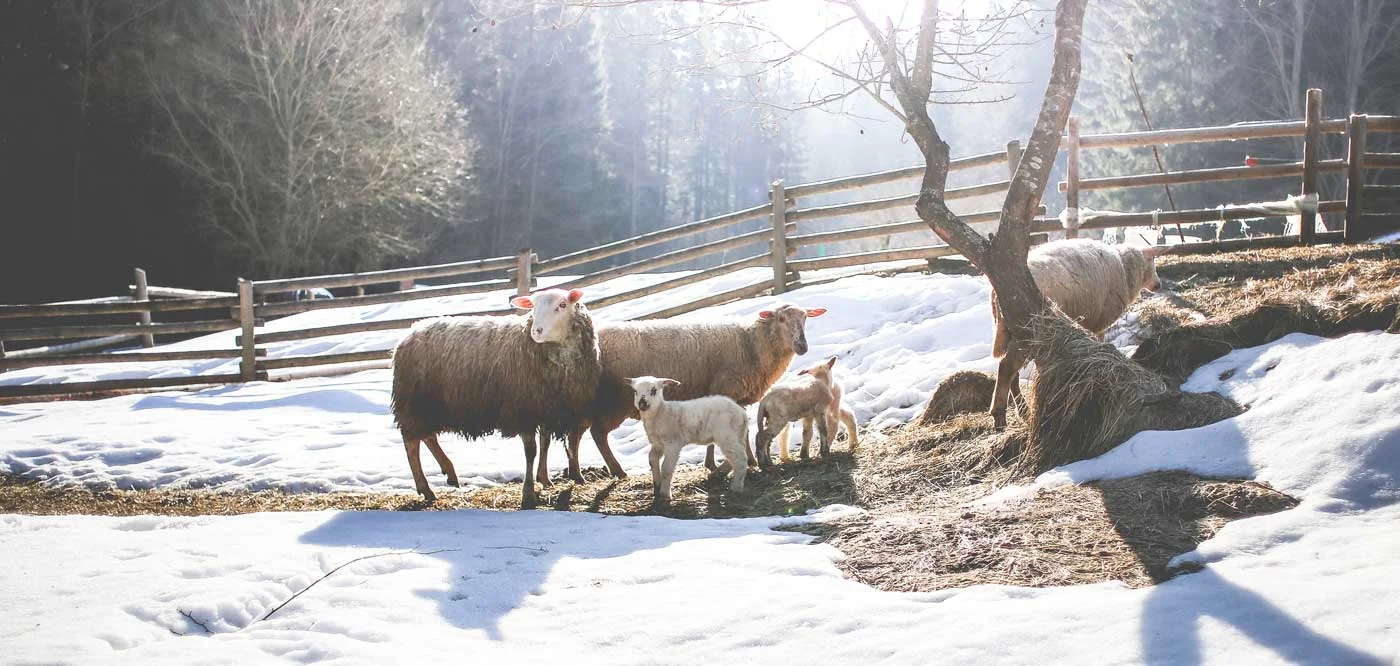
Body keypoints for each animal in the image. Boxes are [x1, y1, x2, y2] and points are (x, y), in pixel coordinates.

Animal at [390, 287, 600, 507]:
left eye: (562, 305)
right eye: (532, 307)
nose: (536, 331)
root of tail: (408, 334)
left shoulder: (547, 406)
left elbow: (545, 442)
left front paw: (544, 479)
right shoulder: (524, 408)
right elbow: (531, 451)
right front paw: (528, 494)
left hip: (432, 404)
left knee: (428, 437)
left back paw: (449, 473)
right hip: (414, 401)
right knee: (412, 443)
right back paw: (426, 488)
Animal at [539, 304, 827, 485]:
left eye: (805, 318)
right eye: (781, 319)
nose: (802, 345)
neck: (753, 344)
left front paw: (726, 462)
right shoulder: (725, 389)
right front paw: (736, 462)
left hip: (585, 403)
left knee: (575, 435)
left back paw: (577, 475)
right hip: (611, 402)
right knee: (597, 434)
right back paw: (616, 472)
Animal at [626, 376, 749, 505]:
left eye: (654, 390)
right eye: (635, 391)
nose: (642, 403)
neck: (661, 413)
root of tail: (742, 414)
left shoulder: (673, 444)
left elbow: (666, 469)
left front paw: (665, 494)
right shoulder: (657, 444)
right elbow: (652, 460)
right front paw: (657, 486)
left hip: (727, 436)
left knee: (740, 459)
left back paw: (736, 487)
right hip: (736, 436)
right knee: (735, 458)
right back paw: (719, 475)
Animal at [989, 239, 1163, 429]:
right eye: (1152, 261)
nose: (1158, 284)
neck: (1125, 268)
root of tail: (997, 293)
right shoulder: (1098, 321)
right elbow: (1098, 338)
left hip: (1011, 331)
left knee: (1012, 372)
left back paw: (1023, 411)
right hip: (1026, 331)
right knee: (1007, 367)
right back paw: (999, 416)